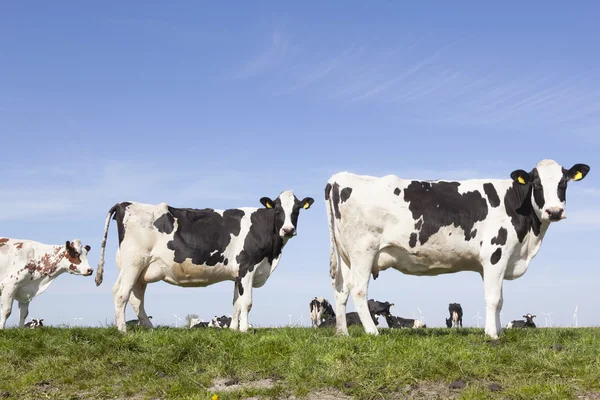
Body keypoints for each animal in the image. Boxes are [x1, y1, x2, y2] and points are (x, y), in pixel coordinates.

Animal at [95, 190, 314, 332]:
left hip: (142, 269)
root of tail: (124, 204)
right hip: (134, 261)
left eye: (296, 210)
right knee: (121, 293)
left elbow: (236, 302)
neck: (272, 255)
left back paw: (149, 328)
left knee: (136, 298)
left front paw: (233, 330)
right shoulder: (247, 267)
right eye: (277, 210)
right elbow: (247, 302)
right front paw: (244, 330)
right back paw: (122, 330)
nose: (288, 229)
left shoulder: (238, 273)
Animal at [324, 159, 592, 338]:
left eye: (563, 183)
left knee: (341, 291)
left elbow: (500, 300)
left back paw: (342, 333)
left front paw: (498, 331)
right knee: (359, 290)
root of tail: (339, 178)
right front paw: (492, 336)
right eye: (537, 184)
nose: (554, 211)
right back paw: (372, 332)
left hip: (347, 257)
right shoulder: (495, 254)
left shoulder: (496, 262)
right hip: (363, 251)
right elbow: (493, 298)